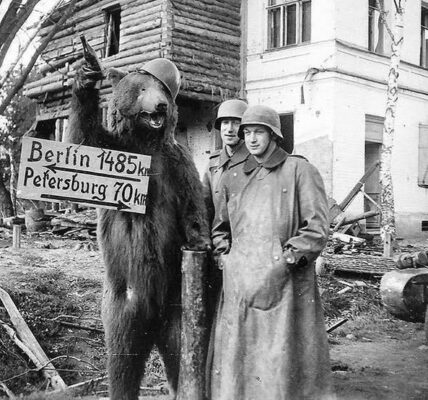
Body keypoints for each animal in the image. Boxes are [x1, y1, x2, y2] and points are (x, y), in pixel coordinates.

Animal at [63, 54, 209, 400]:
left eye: (164, 90)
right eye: (142, 87)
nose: (160, 107)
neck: (145, 141)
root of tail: (152, 318)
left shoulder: (175, 163)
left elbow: (193, 204)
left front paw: (202, 242)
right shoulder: (116, 149)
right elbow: (84, 143)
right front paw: (85, 75)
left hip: (176, 303)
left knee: (177, 351)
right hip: (120, 303)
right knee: (122, 357)